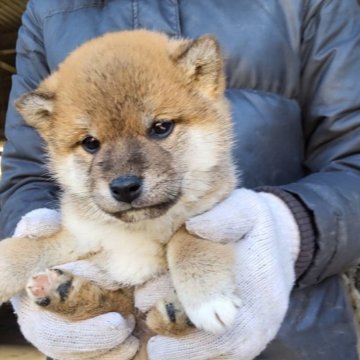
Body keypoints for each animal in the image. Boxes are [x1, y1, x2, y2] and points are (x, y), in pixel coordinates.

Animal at [0, 30, 239, 358]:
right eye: (90, 143)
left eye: (161, 127)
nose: (124, 187)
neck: (135, 232)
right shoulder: (83, 237)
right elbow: (25, 249)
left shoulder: (211, 211)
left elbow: (188, 240)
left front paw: (207, 295)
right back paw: (61, 291)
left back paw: (175, 313)